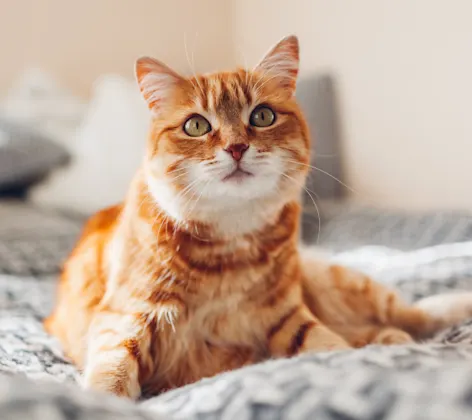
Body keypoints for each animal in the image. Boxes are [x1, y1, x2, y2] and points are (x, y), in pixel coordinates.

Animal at [44, 35, 472, 398]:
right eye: (196, 125)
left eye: (262, 116)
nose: (236, 147)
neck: (228, 247)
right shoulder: (124, 316)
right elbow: (111, 370)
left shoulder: (288, 316)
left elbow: (329, 345)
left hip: (338, 280)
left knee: (411, 312)